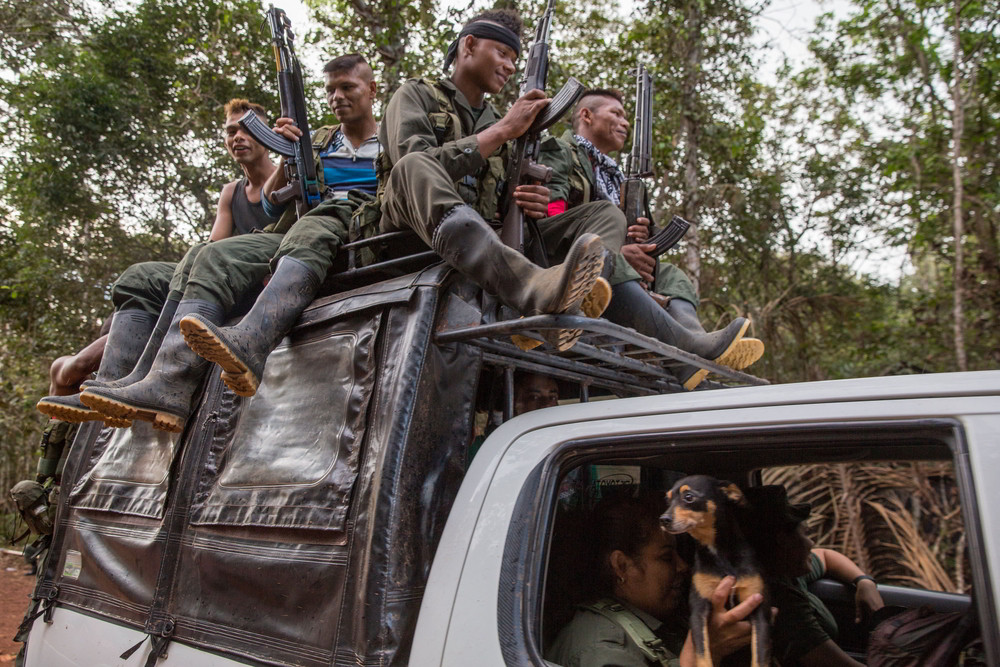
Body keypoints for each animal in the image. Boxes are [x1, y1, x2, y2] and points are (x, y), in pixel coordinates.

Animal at [660, 474, 768, 667]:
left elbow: (759, 658)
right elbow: (702, 654)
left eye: (689, 497)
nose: (663, 520)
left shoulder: (759, 609)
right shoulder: (698, 610)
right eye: (667, 500)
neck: (718, 553)